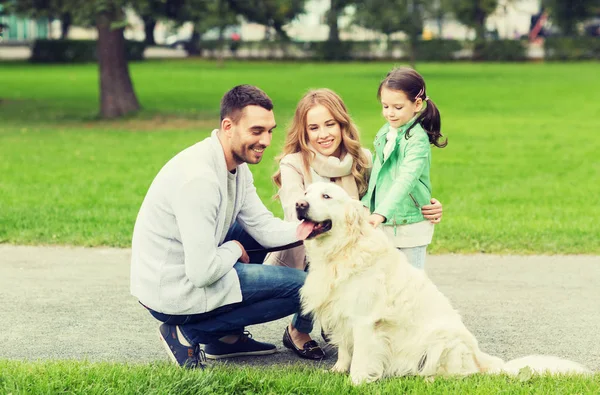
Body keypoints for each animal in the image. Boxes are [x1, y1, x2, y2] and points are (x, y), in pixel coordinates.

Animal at [296, 183, 592, 386]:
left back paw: (430, 380)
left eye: (326, 196)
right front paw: (337, 371)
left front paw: (356, 381)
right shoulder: (341, 312)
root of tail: (485, 358)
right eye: (306, 192)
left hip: (442, 341)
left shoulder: (364, 319)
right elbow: (346, 350)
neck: (342, 250)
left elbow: (360, 355)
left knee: (463, 374)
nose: (299, 204)